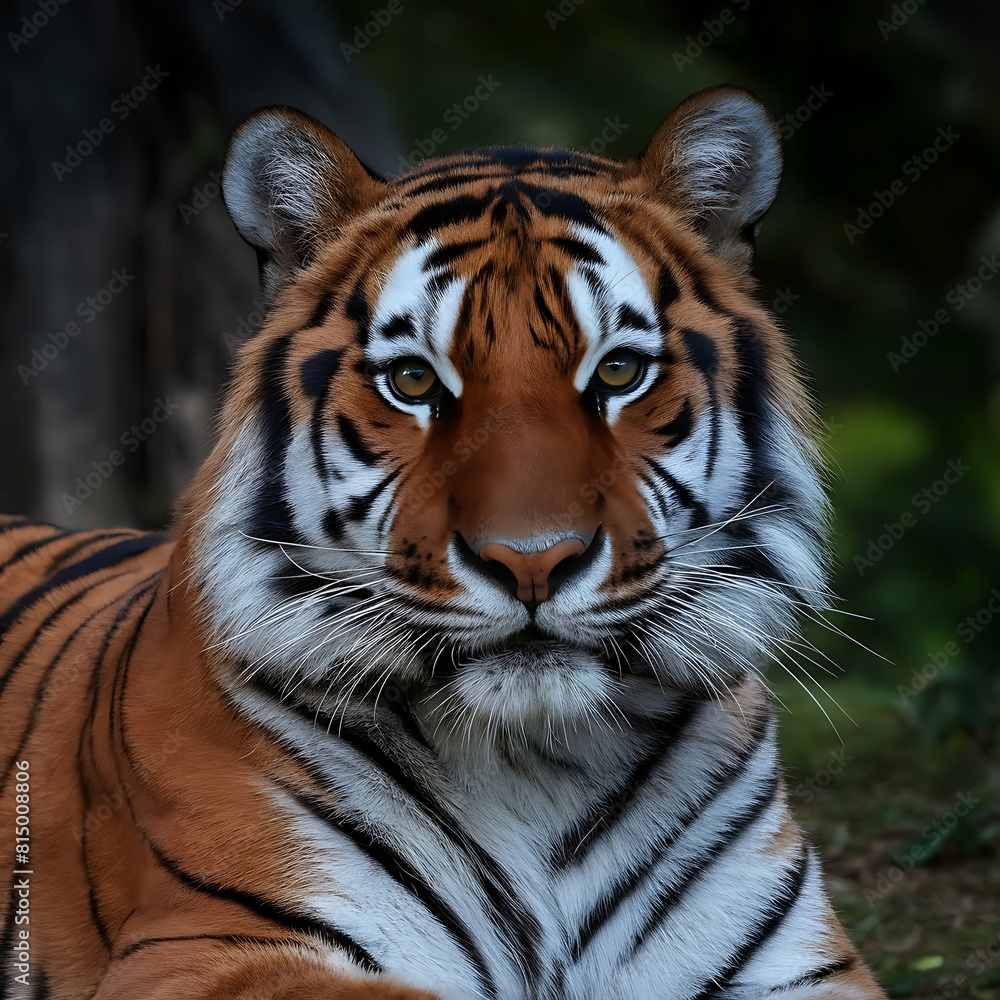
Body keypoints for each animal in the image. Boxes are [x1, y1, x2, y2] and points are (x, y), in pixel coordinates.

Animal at [0, 84, 885, 999]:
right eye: (414, 380)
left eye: (617, 372)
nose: (533, 560)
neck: (540, 762)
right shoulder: (203, 949)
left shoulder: (799, 966)